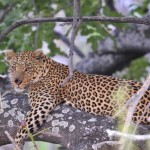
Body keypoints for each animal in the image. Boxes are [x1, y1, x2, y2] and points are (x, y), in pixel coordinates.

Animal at [5, 49, 150, 149]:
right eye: (13, 67)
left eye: (27, 68)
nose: (17, 81)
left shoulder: (43, 103)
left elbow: (22, 129)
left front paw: (16, 144)